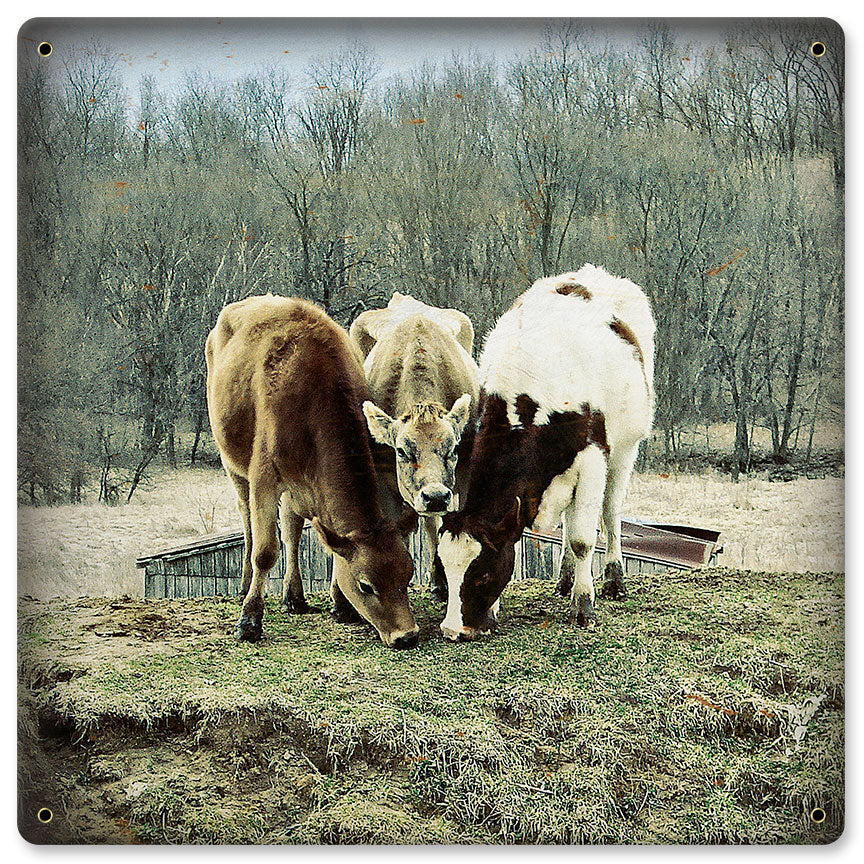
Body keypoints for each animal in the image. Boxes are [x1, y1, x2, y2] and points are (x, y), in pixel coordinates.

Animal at [205, 294, 419, 649]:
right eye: (366, 586)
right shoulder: (264, 477)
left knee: (292, 530)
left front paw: (339, 604)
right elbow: (266, 550)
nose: (407, 636)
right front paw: (249, 621)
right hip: (231, 463)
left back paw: (294, 596)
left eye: (408, 574)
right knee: (247, 518)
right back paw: (246, 584)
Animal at [437, 265, 655, 641]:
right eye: (445, 573)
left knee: (610, 512)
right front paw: (494, 611)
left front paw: (584, 607)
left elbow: (584, 539)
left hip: (625, 449)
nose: (453, 630)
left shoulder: (592, 459)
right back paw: (566, 578)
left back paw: (613, 579)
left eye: (481, 573)